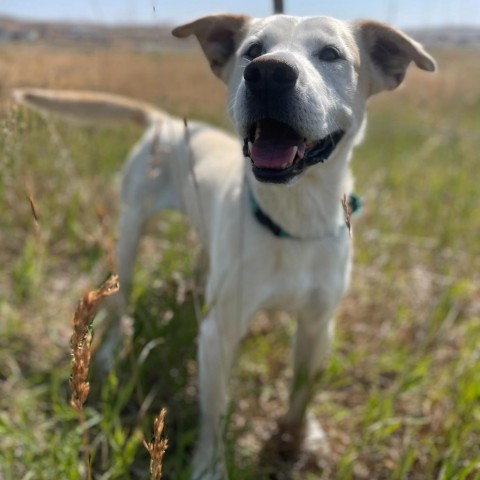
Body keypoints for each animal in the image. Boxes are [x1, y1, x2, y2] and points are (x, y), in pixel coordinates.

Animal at [14, 12, 436, 480]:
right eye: (252, 50)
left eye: (330, 53)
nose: (268, 73)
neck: (292, 221)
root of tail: (163, 121)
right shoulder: (219, 334)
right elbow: (214, 412)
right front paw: (210, 466)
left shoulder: (317, 323)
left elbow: (300, 395)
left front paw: (297, 442)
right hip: (129, 234)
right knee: (118, 307)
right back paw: (106, 357)